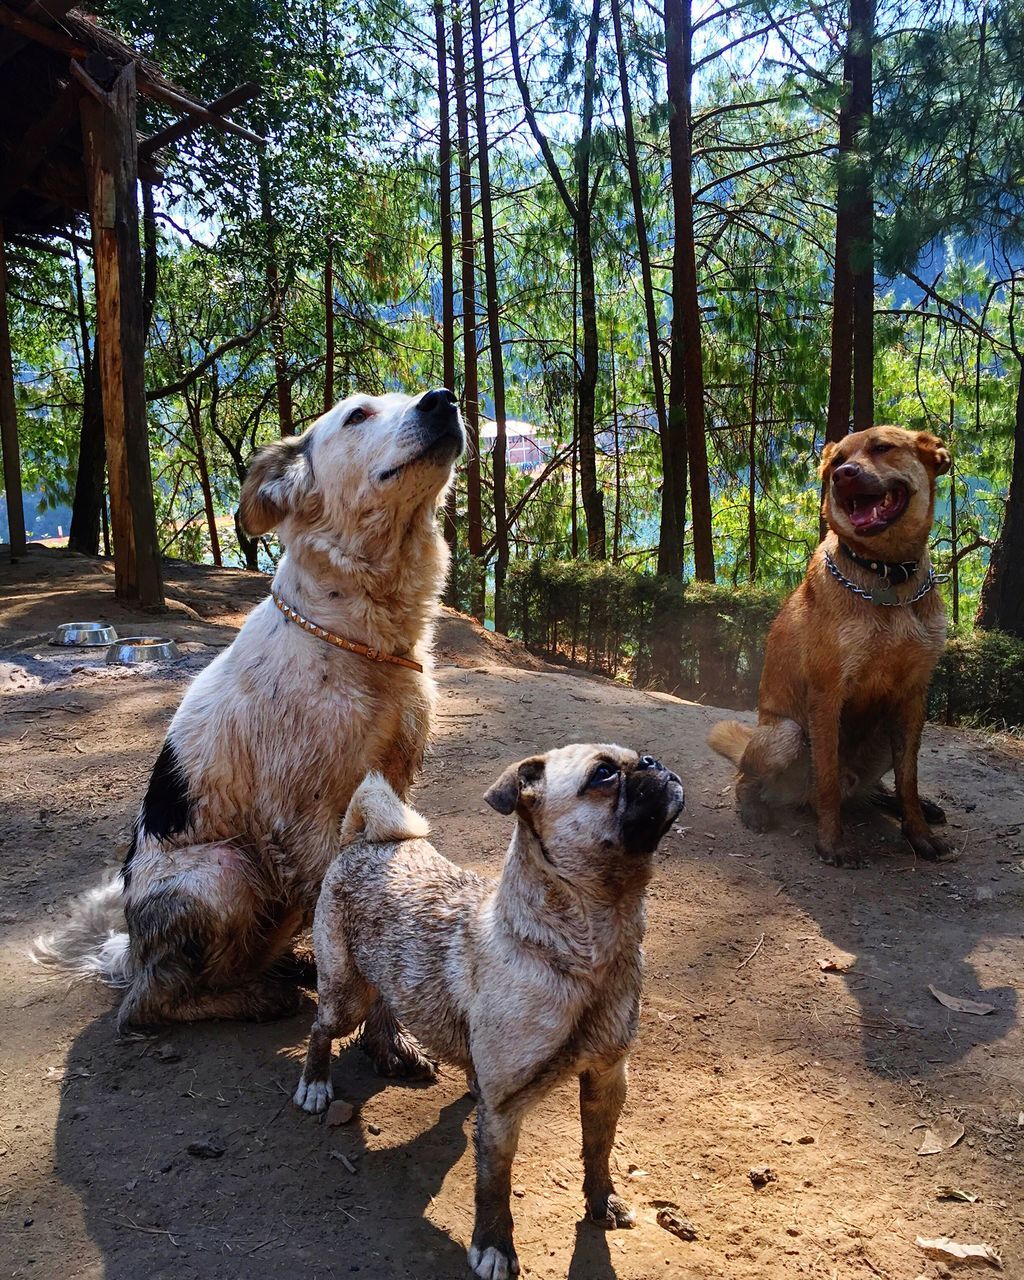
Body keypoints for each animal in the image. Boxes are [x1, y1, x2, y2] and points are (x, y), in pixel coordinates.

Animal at [32, 384, 463, 1075]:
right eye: (358, 414)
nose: (444, 399)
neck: (358, 638)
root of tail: (128, 951)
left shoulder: (392, 787)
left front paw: (388, 1034)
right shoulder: (307, 815)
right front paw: (384, 1036)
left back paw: (291, 966)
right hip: (225, 872)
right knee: (147, 1005)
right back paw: (254, 996)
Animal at [711, 424, 952, 865]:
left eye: (882, 447)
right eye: (837, 461)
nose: (843, 475)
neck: (887, 578)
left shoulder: (912, 697)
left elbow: (908, 779)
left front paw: (919, 833)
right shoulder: (827, 693)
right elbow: (826, 780)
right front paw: (832, 844)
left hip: (884, 730)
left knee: (879, 788)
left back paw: (908, 805)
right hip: (786, 734)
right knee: (747, 778)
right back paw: (754, 808)